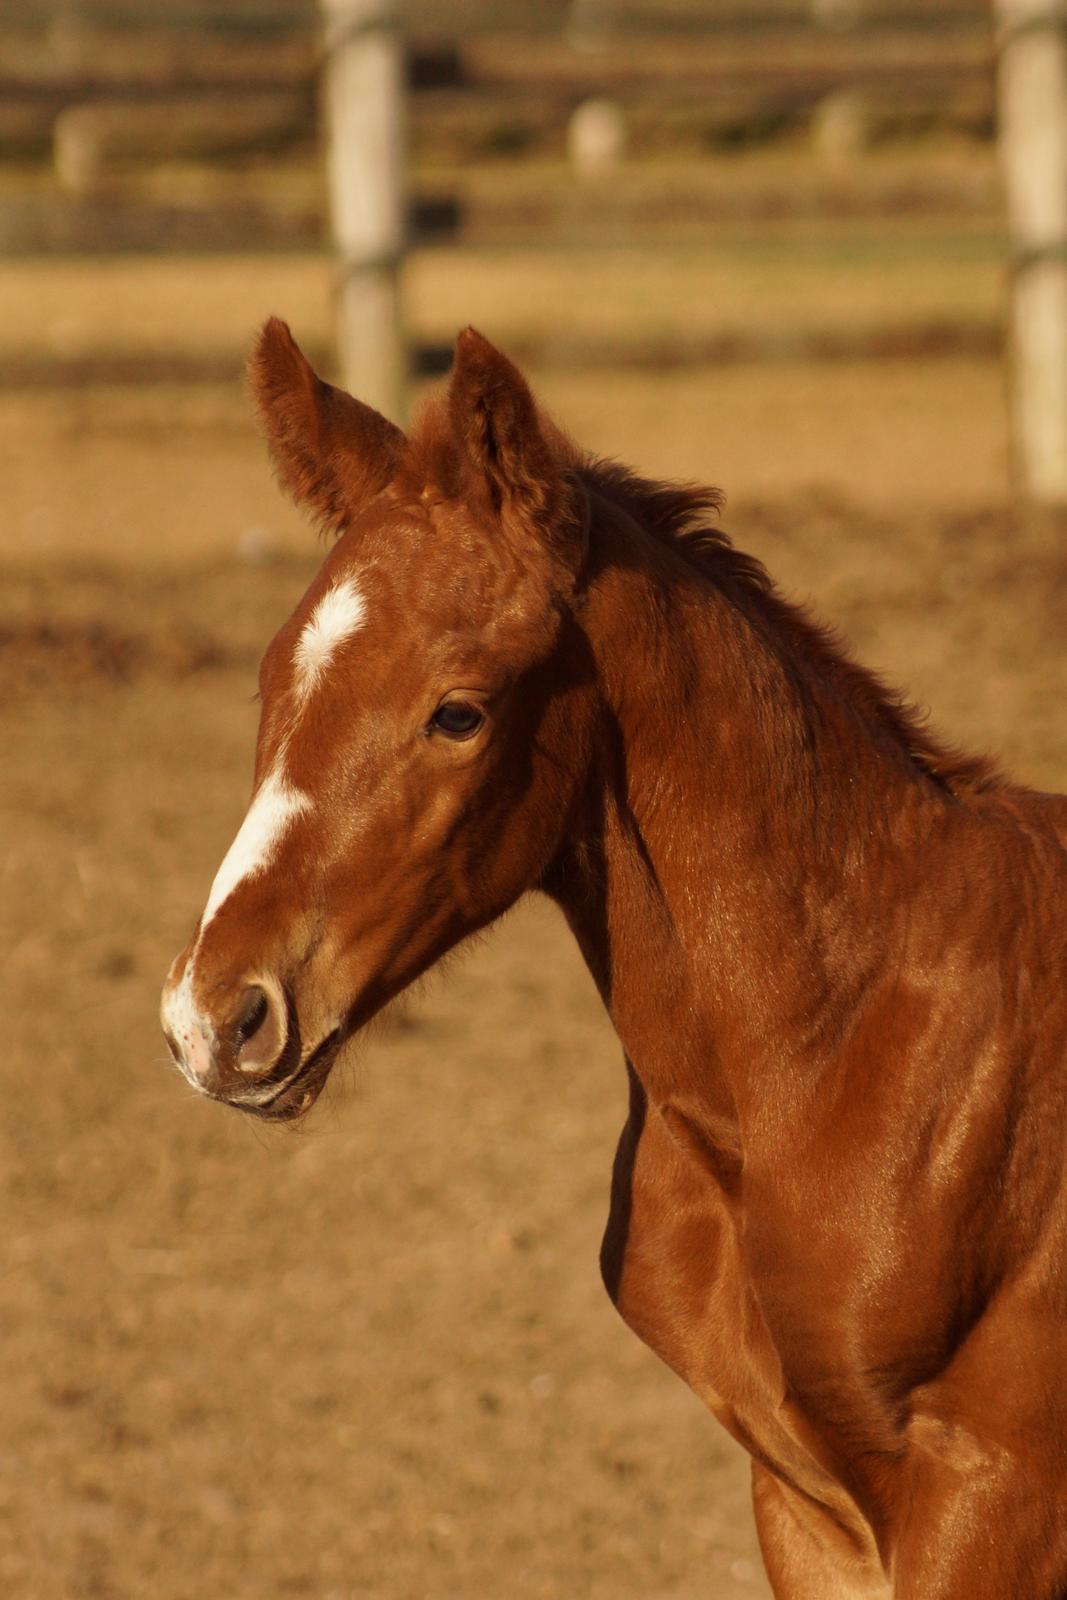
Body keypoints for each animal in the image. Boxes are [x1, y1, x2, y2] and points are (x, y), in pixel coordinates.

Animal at [163, 324, 1067, 1600]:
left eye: (459, 712)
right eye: (272, 677)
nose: (216, 1017)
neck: (837, 1051)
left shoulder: (995, 1495)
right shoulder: (806, 1509)